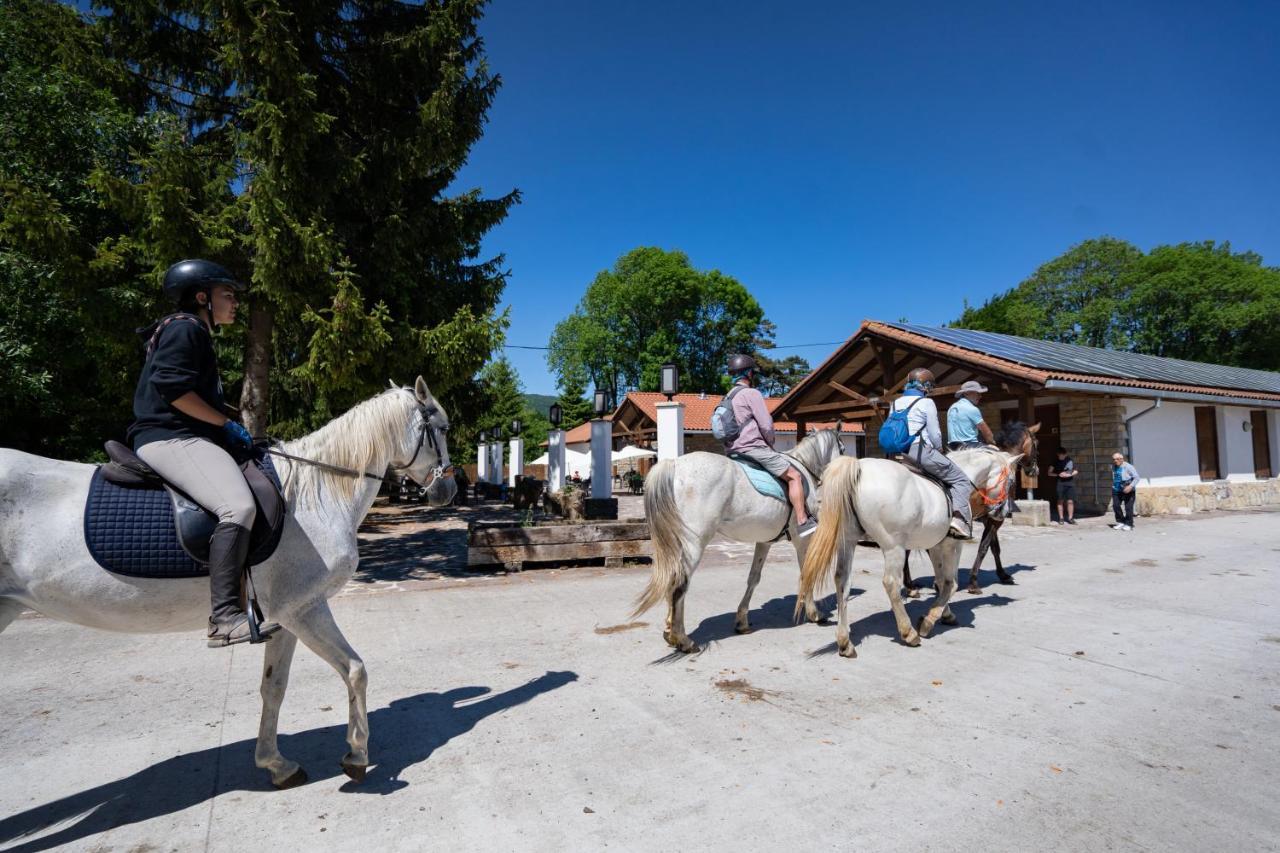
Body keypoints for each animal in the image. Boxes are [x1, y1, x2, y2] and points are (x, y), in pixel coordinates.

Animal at [0, 376, 455, 788]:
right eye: (444, 428)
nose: (448, 490)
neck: (317, 493)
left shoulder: (283, 618)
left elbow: (274, 687)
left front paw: (276, 764)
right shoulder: (303, 608)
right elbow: (355, 670)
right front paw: (357, 755)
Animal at [632, 427, 849, 653]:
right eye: (842, 448)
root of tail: (674, 465)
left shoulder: (765, 541)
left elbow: (754, 577)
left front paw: (742, 621)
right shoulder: (801, 540)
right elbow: (806, 573)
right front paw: (814, 613)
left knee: (672, 579)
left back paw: (669, 630)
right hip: (694, 545)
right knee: (679, 585)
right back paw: (683, 639)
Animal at [798, 432, 1029, 655]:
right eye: (1011, 481)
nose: (1002, 513)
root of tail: (859, 468)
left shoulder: (935, 546)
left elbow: (940, 581)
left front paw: (945, 614)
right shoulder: (953, 545)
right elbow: (951, 583)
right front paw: (929, 621)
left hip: (848, 541)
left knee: (842, 580)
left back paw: (845, 641)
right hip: (893, 546)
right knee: (891, 582)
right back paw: (908, 632)